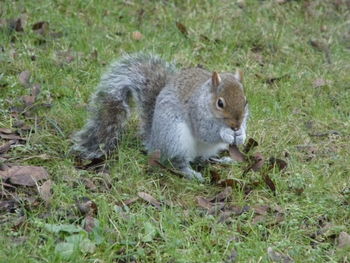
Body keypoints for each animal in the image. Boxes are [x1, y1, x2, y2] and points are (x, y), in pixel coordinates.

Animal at [72, 52, 249, 183]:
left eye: (246, 101)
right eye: (220, 103)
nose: (236, 125)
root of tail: (154, 142)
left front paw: (241, 134)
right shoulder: (196, 113)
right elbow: (206, 133)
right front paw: (225, 133)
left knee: (202, 158)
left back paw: (222, 160)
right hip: (175, 138)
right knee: (175, 162)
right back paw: (190, 173)